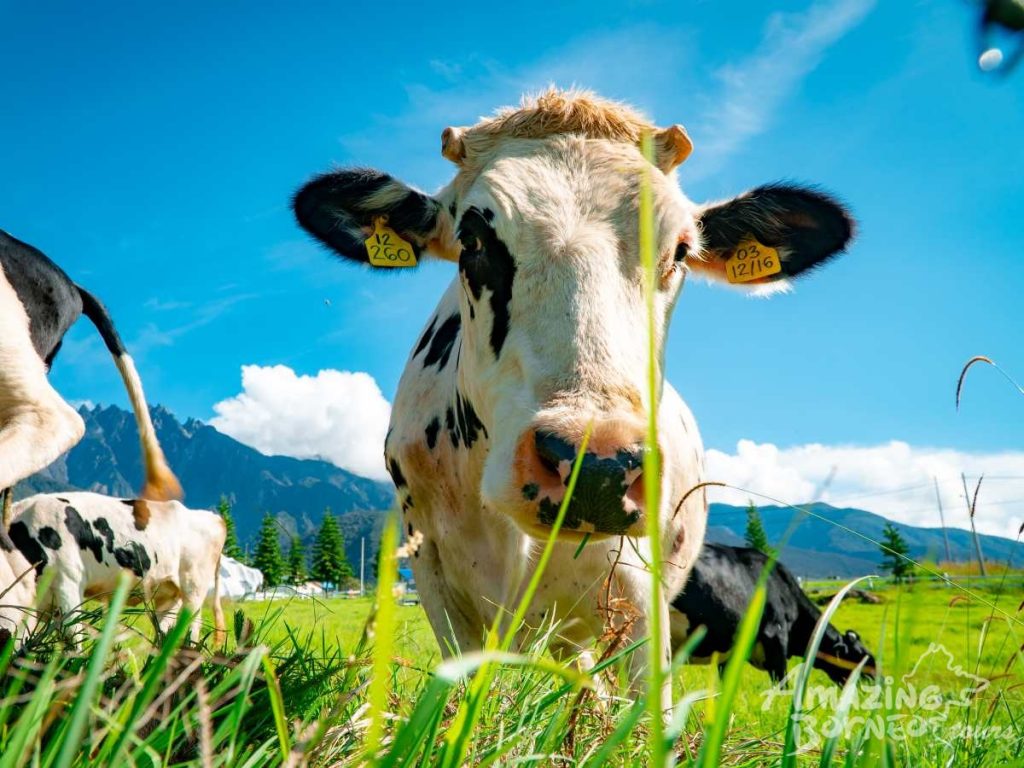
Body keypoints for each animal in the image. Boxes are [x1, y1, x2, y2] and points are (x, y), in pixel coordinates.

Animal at [8, 492, 226, 645]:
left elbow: (72, 636)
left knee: (192, 631)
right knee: (164, 634)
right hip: (169, 594)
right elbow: (22, 640)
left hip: (193, 589)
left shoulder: (68, 582)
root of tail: (214, 519)